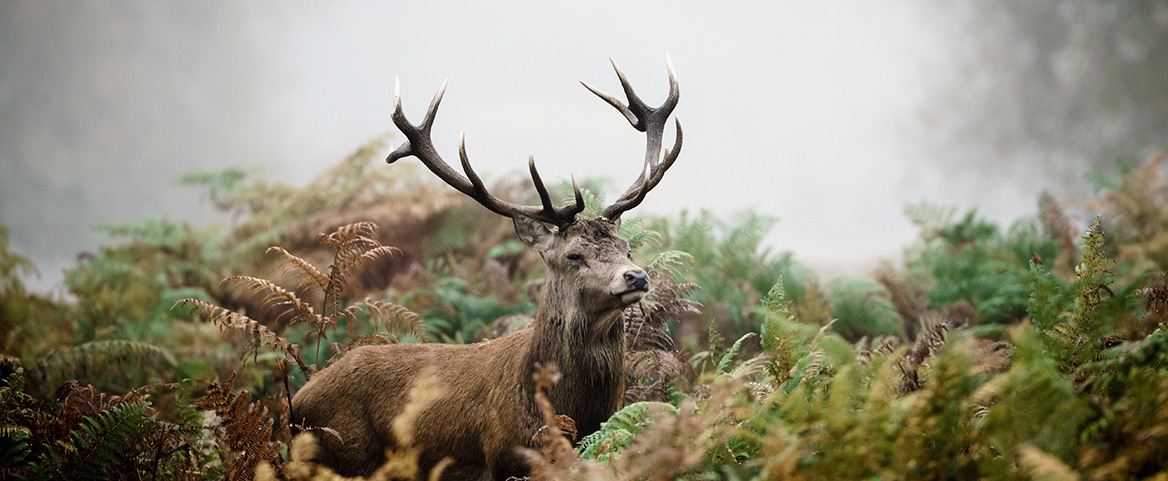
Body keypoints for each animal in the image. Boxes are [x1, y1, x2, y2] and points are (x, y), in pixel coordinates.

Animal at [292, 57, 682, 481]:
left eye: (626, 247)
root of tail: (296, 401)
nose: (636, 276)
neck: (572, 415)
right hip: (346, 455)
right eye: (574, 256)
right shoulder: (502, 459)